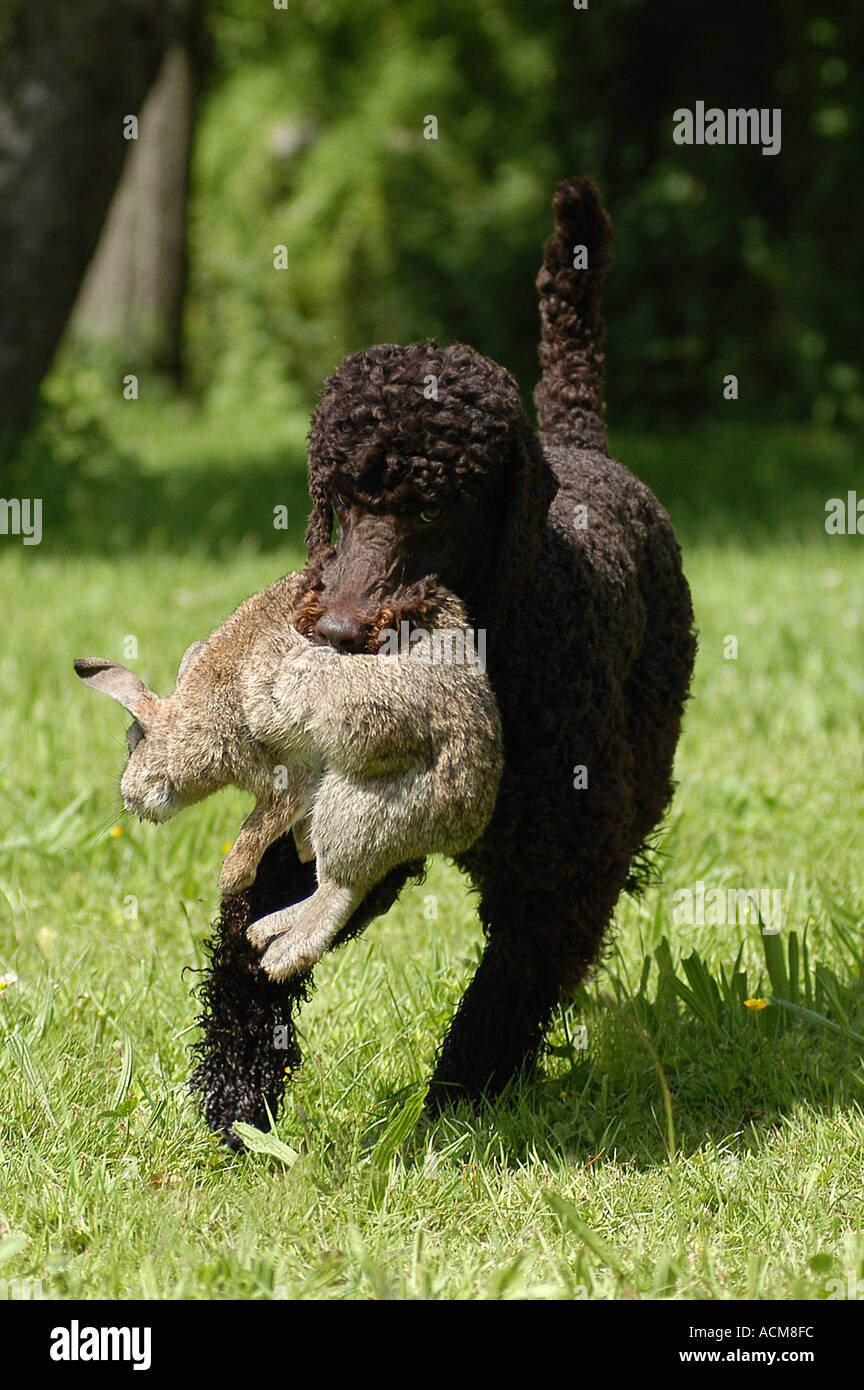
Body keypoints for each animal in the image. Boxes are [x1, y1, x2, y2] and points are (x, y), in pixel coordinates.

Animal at [74, 572, 502, 981]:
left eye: (133, 744)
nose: (129, 797)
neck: (196, 720)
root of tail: (467, 817)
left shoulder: (277, 768)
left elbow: (263, 820)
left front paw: (232, 878)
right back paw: (267, 927)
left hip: (356, 799)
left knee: (341, 886)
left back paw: (280, 953)